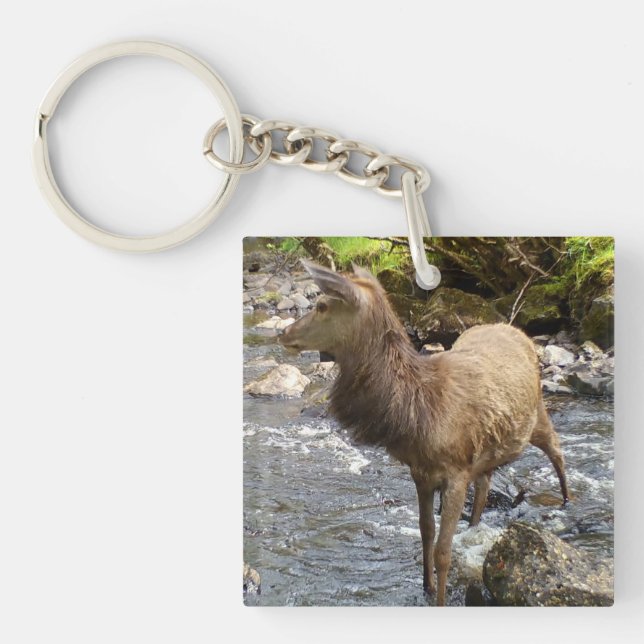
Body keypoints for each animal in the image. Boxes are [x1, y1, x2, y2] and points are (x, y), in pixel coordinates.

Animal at [279, 260, 569, 606]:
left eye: (322, 305)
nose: (283, 333)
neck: (418, 415)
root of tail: (516, 330)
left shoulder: (456, 472)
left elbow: (444, 550)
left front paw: (440, 597)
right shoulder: (421, 472)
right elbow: (425, 531)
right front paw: (426, 586)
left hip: (538, 413)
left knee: (557, 450)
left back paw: (567, 502)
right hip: (489, 449)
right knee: (485, 484)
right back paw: (477, 522)